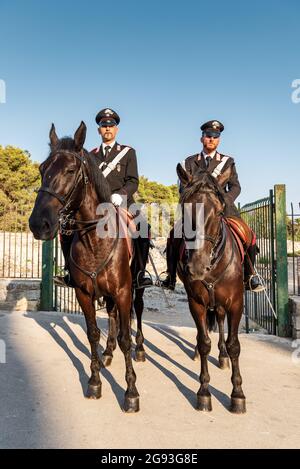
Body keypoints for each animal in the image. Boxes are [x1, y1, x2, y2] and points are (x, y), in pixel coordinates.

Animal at [29, 122, 145, 412]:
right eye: (42, 169)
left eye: (71, 170)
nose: (38, 223)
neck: (94, 239)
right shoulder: (84, 293)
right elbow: (93, 334)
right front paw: (94, 381)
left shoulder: (123, 291)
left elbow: (126, 337)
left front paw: (131, 392)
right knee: (112, 317)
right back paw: (108, 352)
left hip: (135, 288)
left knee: (136, 313)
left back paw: (139, 350)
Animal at [177, 165, 245, 414]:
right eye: (185, 210)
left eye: (218, 213)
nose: (197, 266)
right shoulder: (196, 303)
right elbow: (204, 342)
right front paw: (204, 392)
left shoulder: (236, 303)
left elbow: (234, 346)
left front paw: (237, 394)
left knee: (222, 322)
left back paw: (223, 356)